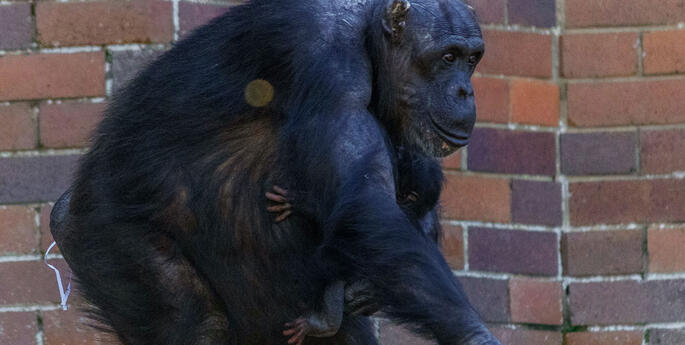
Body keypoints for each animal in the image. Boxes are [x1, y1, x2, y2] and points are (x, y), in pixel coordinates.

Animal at [49, 0, 496, 342]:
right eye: (448, 57)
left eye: (472, 59)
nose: (465, 90)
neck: (368, 39)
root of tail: (65, 209)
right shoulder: (328, 61)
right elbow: (364, 203)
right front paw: (473, 334)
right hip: (105, 239)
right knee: (194, 321)